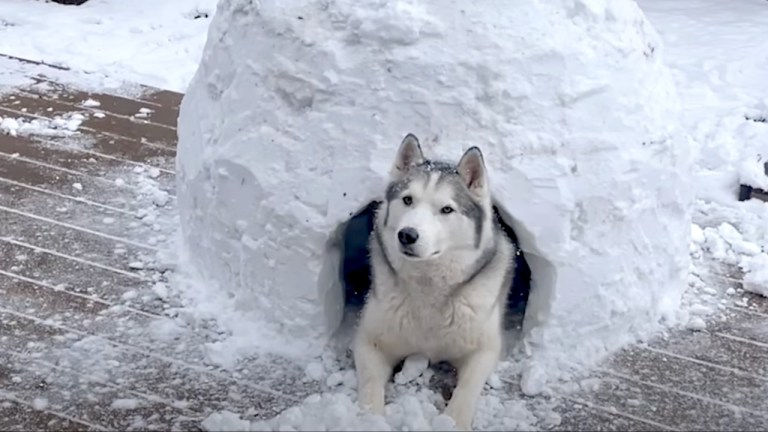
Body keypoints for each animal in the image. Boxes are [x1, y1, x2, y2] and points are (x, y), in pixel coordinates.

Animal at [354, 134, 516, 428]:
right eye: (407, 200)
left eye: (447, 209)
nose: (407, 235)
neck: (429, 290)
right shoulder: (369, 340)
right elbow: (371, 385)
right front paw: (370, 421)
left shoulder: (485, 349)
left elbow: (467, 389)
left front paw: (453, 423)